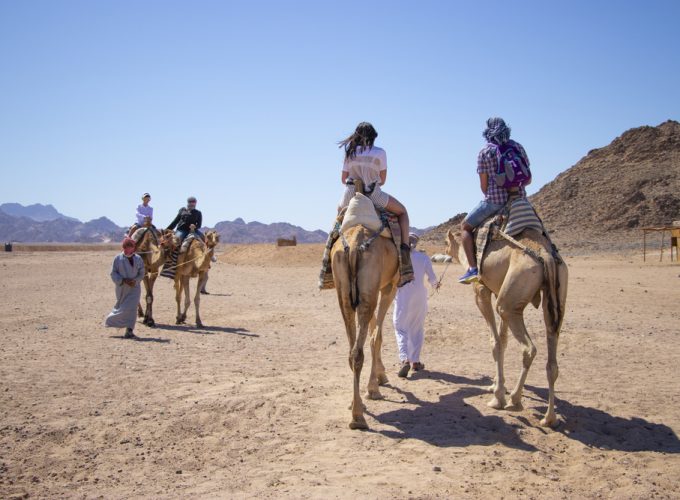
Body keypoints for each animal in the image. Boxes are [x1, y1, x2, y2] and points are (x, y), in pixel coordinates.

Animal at [330, 223, 398, 430]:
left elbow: (373, 333)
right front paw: (374, 387)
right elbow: (377, 336)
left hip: (345, 295)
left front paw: (378, 379)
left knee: (352, 352)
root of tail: (353, 246)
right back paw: (358, 417)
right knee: (360, 350)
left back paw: (355, 406)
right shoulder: (389, 287)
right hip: (370, 291)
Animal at [446, 227, 568, 426]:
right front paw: (496, 384)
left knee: (528, 348)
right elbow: (503, 341)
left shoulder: (481, 291)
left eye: (446, 242)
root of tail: (545, 255)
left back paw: (514, 401)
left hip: (509, 303)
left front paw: (498, 396)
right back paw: (549, 419)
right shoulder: (498, 291)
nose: (445, 251)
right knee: (552, 358)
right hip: (555, 297)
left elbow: (495, 342)